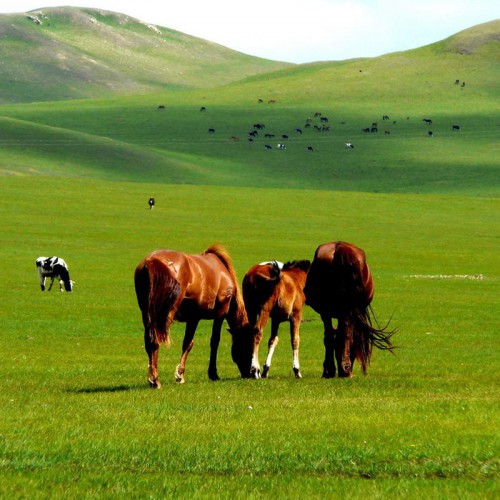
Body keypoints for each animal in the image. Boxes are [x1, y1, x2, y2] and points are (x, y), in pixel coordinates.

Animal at [134, 244, 254, 388]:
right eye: (248, 346)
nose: (249, 374)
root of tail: (151, 262)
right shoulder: (220, 313)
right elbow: (214, 341)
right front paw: (212, 374)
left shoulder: (193, 317)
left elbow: (188, 342)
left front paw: (180, 375)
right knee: (154, 341)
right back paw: (155, 380)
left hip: (147, 313)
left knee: (149, 341)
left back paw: (153, 379)